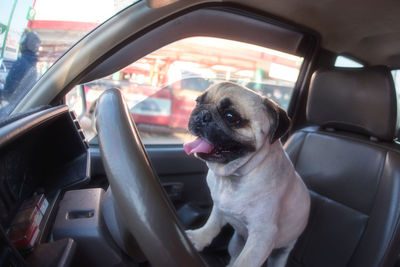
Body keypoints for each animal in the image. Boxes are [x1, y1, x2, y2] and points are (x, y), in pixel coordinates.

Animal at [183, 82, 310, 267]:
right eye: (198, 102)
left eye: (231, 116)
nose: (202, 115)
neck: (233, 176)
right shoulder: (219, 207)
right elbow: (212, 224)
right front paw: (199, 238)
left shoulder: (262, 236)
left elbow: (245, 261)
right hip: (235, 243)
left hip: (281, 253)